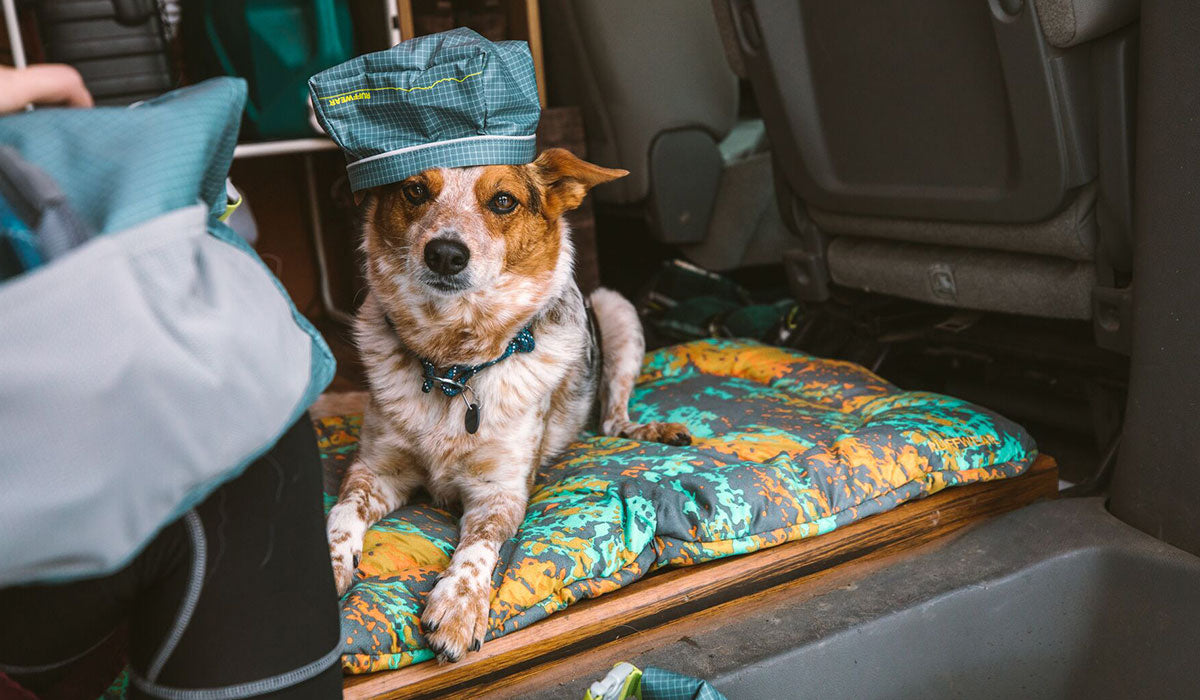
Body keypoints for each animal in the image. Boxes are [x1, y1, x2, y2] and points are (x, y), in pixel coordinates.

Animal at [326, 146, 696, 662]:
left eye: (503, 200)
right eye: (414, 190)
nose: (444, 253)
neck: (453, 368)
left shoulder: (501, 490)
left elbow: (478, 547)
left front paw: (459, 606)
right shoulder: (376, 469)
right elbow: (342, 512)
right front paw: (330, 566)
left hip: (617, 310)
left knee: (613, 419)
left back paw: (652, 429)